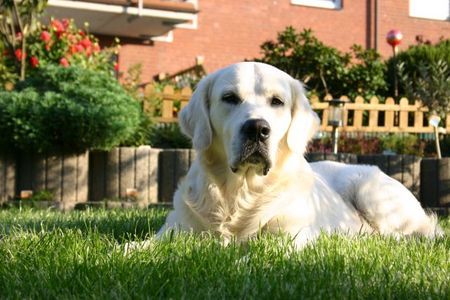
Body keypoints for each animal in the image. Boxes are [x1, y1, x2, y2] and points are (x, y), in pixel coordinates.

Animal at [156, 61, 442, 248]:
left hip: (371, 192)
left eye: (277, 101)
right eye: (230, 98)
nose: (257, 129)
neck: (241, 192)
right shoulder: (172, 232)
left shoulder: (289, 237)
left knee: (418, 232)